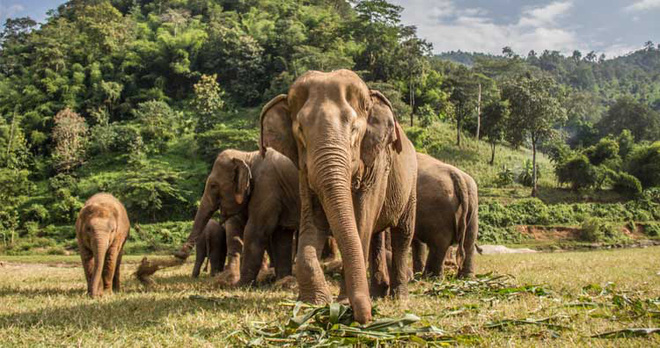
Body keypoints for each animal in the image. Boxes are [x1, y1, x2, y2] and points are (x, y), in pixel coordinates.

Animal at [177, 148, 298, 286]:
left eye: (213, 185)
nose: (179, 254)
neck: (248, 156)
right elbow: (279, 235)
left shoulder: (267, 188)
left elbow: (255, 231)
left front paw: (240, 285)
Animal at [260, 70, 418, 324]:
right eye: (300, 130)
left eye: (354, 129)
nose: (365, 318)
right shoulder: (304, 170)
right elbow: (313, 219)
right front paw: (313, 303)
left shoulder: (377, 164)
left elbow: (362, 220)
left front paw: (343, 303)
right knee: (376, 236)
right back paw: (377, 293)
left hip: (410, 184)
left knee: (402, 233)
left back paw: (399, 297)